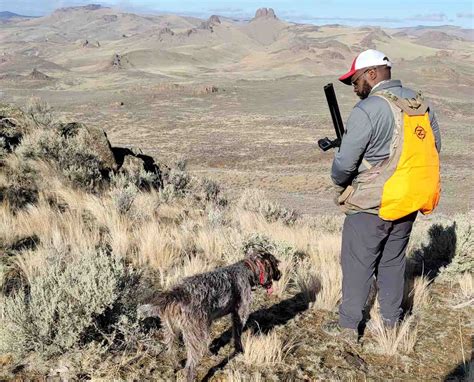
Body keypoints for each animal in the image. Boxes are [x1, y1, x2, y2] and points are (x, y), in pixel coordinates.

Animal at [139, 249, 284, 380]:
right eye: (275, 265)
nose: (280, 275)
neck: (247, 269)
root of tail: (176, 293)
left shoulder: (207, 321)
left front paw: (209, 352)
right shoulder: (240, 314)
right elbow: (237, 336)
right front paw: (239, 350)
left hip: (172, 330)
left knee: (171, 351)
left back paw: (174, 365)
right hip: (194, 333)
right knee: (189, 366)